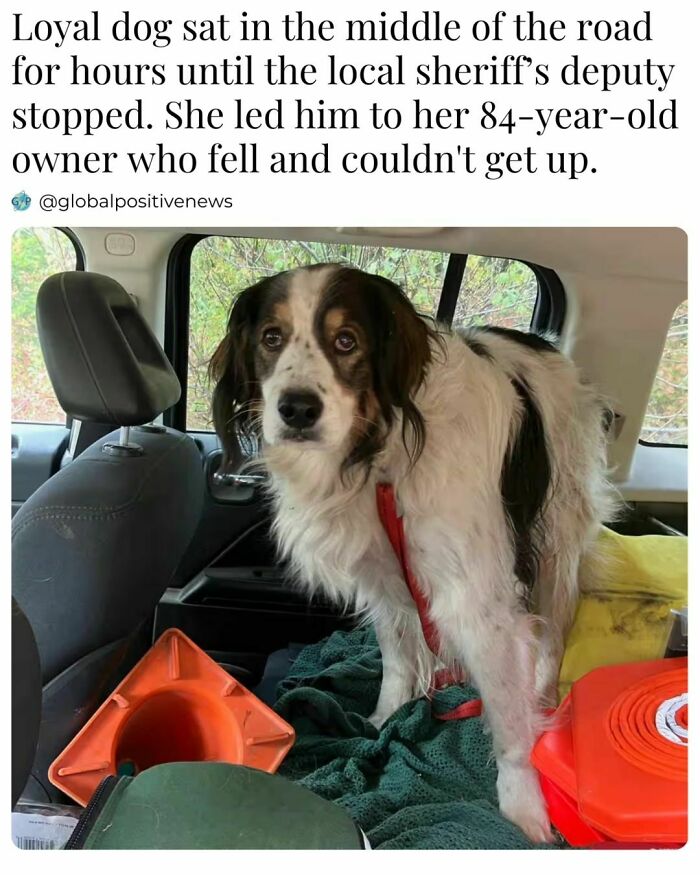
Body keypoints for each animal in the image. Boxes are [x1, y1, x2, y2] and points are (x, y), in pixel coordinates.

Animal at [209, 262, 616, 840]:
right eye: (271, 338)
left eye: (346, 341)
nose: (296, 409)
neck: (381, 455)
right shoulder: (382, 571)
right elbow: (399, 656)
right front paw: (386, 718)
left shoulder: (477, 599)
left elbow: (508, 719)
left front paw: (523, 806)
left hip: (558, 537)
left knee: (553, 633)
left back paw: (543, 700)